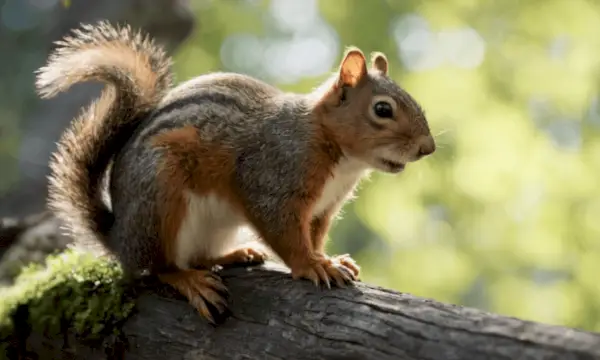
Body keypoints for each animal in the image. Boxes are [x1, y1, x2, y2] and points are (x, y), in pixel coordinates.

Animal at [36, 21, 436, 324]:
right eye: (382, 110)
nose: (427, 148)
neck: (341, 157)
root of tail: (119, 237)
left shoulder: (323, 208)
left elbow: (314, 235)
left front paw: (329, 259)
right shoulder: (272, 177)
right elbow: (285, 234)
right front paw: (310, 265)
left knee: (198, 256)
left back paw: (233, 255)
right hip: (159, 199)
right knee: (159, 267)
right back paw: (189, 281)